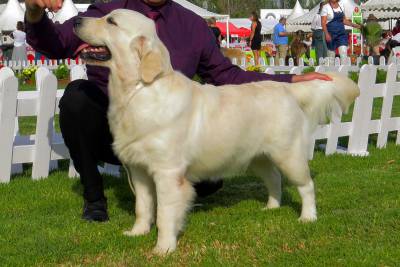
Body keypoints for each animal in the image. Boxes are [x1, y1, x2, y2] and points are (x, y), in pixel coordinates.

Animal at [74, 8, 360, 255]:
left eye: (111, 21)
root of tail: (285, 89)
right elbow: (142, 207)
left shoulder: (168, 173)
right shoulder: (139, 170)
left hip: (288, 155)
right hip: (258, 157)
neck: (137, 90)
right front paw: (138, 232)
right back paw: (271, 206)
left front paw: (163, 248)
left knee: (306, 185)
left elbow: (165, 214)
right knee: (274, 179)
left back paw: (308, 216)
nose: (76, 20)